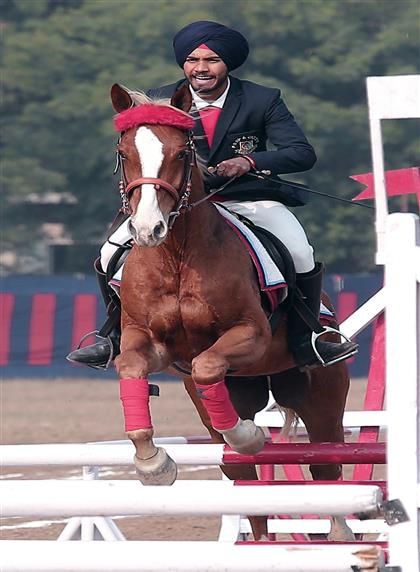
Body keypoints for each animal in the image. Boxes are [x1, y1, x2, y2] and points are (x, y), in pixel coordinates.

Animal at [110, 85, 352, 540]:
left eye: (181, 154)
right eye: (123, 152)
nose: (148, 230)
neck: (177, 256)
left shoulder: (251, 334)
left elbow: (207, 364)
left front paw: (248, 436)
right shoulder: (148, 341)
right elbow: (131, 368)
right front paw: (153, 464)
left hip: (321, 397)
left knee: (326, 470)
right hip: (234, 396)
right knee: (247, 484)